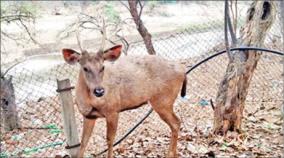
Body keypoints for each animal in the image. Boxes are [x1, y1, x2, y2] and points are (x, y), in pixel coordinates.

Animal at [61, 23, 186, 158]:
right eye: (85, 68)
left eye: (102, 67)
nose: (99, 91)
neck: (90, 102)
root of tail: (183, 69)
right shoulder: (88, 115)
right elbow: (83, 143)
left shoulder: (113, 110)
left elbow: (110, 140)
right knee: (176, 123)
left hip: (163, 100)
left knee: (176, 122)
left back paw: (170, 153)